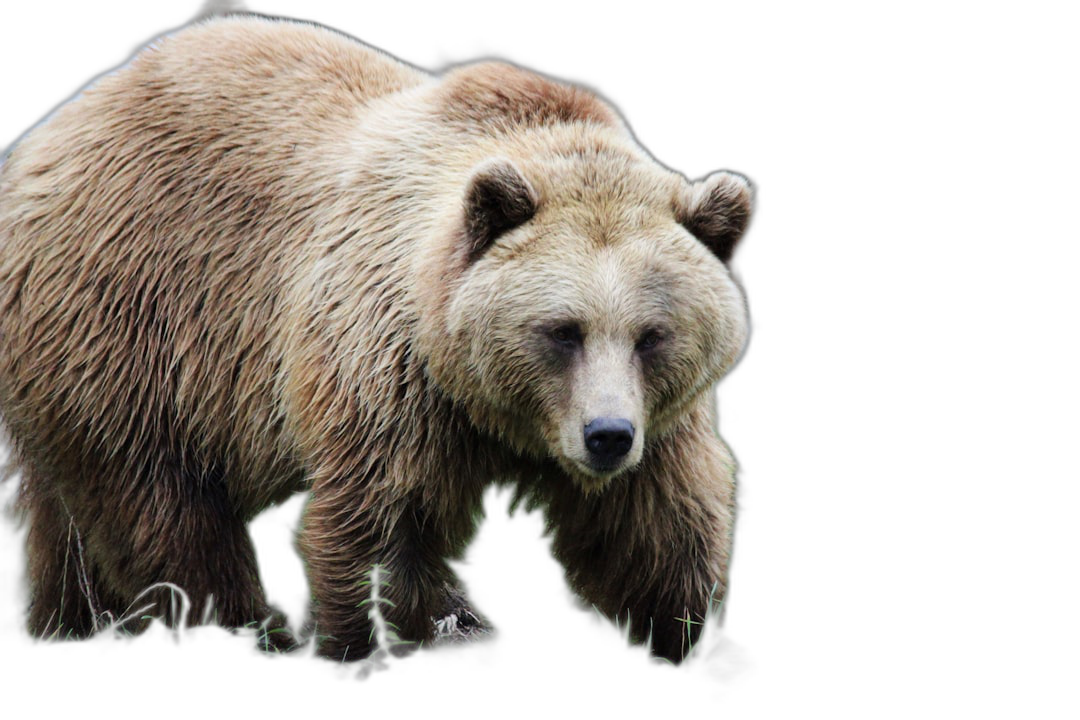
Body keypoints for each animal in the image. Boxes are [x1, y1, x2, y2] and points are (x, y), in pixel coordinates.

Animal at [0, 14, 756, 660]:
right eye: (561, 330)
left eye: (652, 335)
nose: (606, 437)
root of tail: (51, 131)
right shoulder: (390, 369)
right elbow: (385, 519)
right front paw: (383, 636)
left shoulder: (661, 421)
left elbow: (660, 529)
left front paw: (685, 629)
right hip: (129, 311)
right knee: (159, 499)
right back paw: (248, 625)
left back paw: (77, 620)